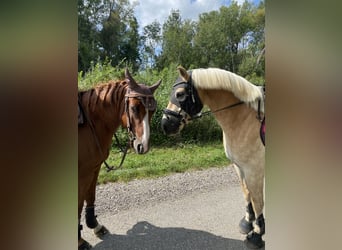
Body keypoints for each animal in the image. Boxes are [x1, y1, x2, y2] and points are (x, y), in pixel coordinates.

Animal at [78, 69, 161, 250]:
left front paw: (95, 225)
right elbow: (79, 203)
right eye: (134, 108)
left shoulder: (94, 168)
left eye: (152, 111)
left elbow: (90, 196)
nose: (143, 145)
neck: (89, 122)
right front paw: (79, 240)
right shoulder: (82, 174)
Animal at [162, 66, 266, 248]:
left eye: (180, 94)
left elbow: (257, 200)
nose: (166, 125)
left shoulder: (254, 170)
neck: (245, 118)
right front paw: (247, 222)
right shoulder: (239, 167)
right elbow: (246, 193)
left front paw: (257, 235)